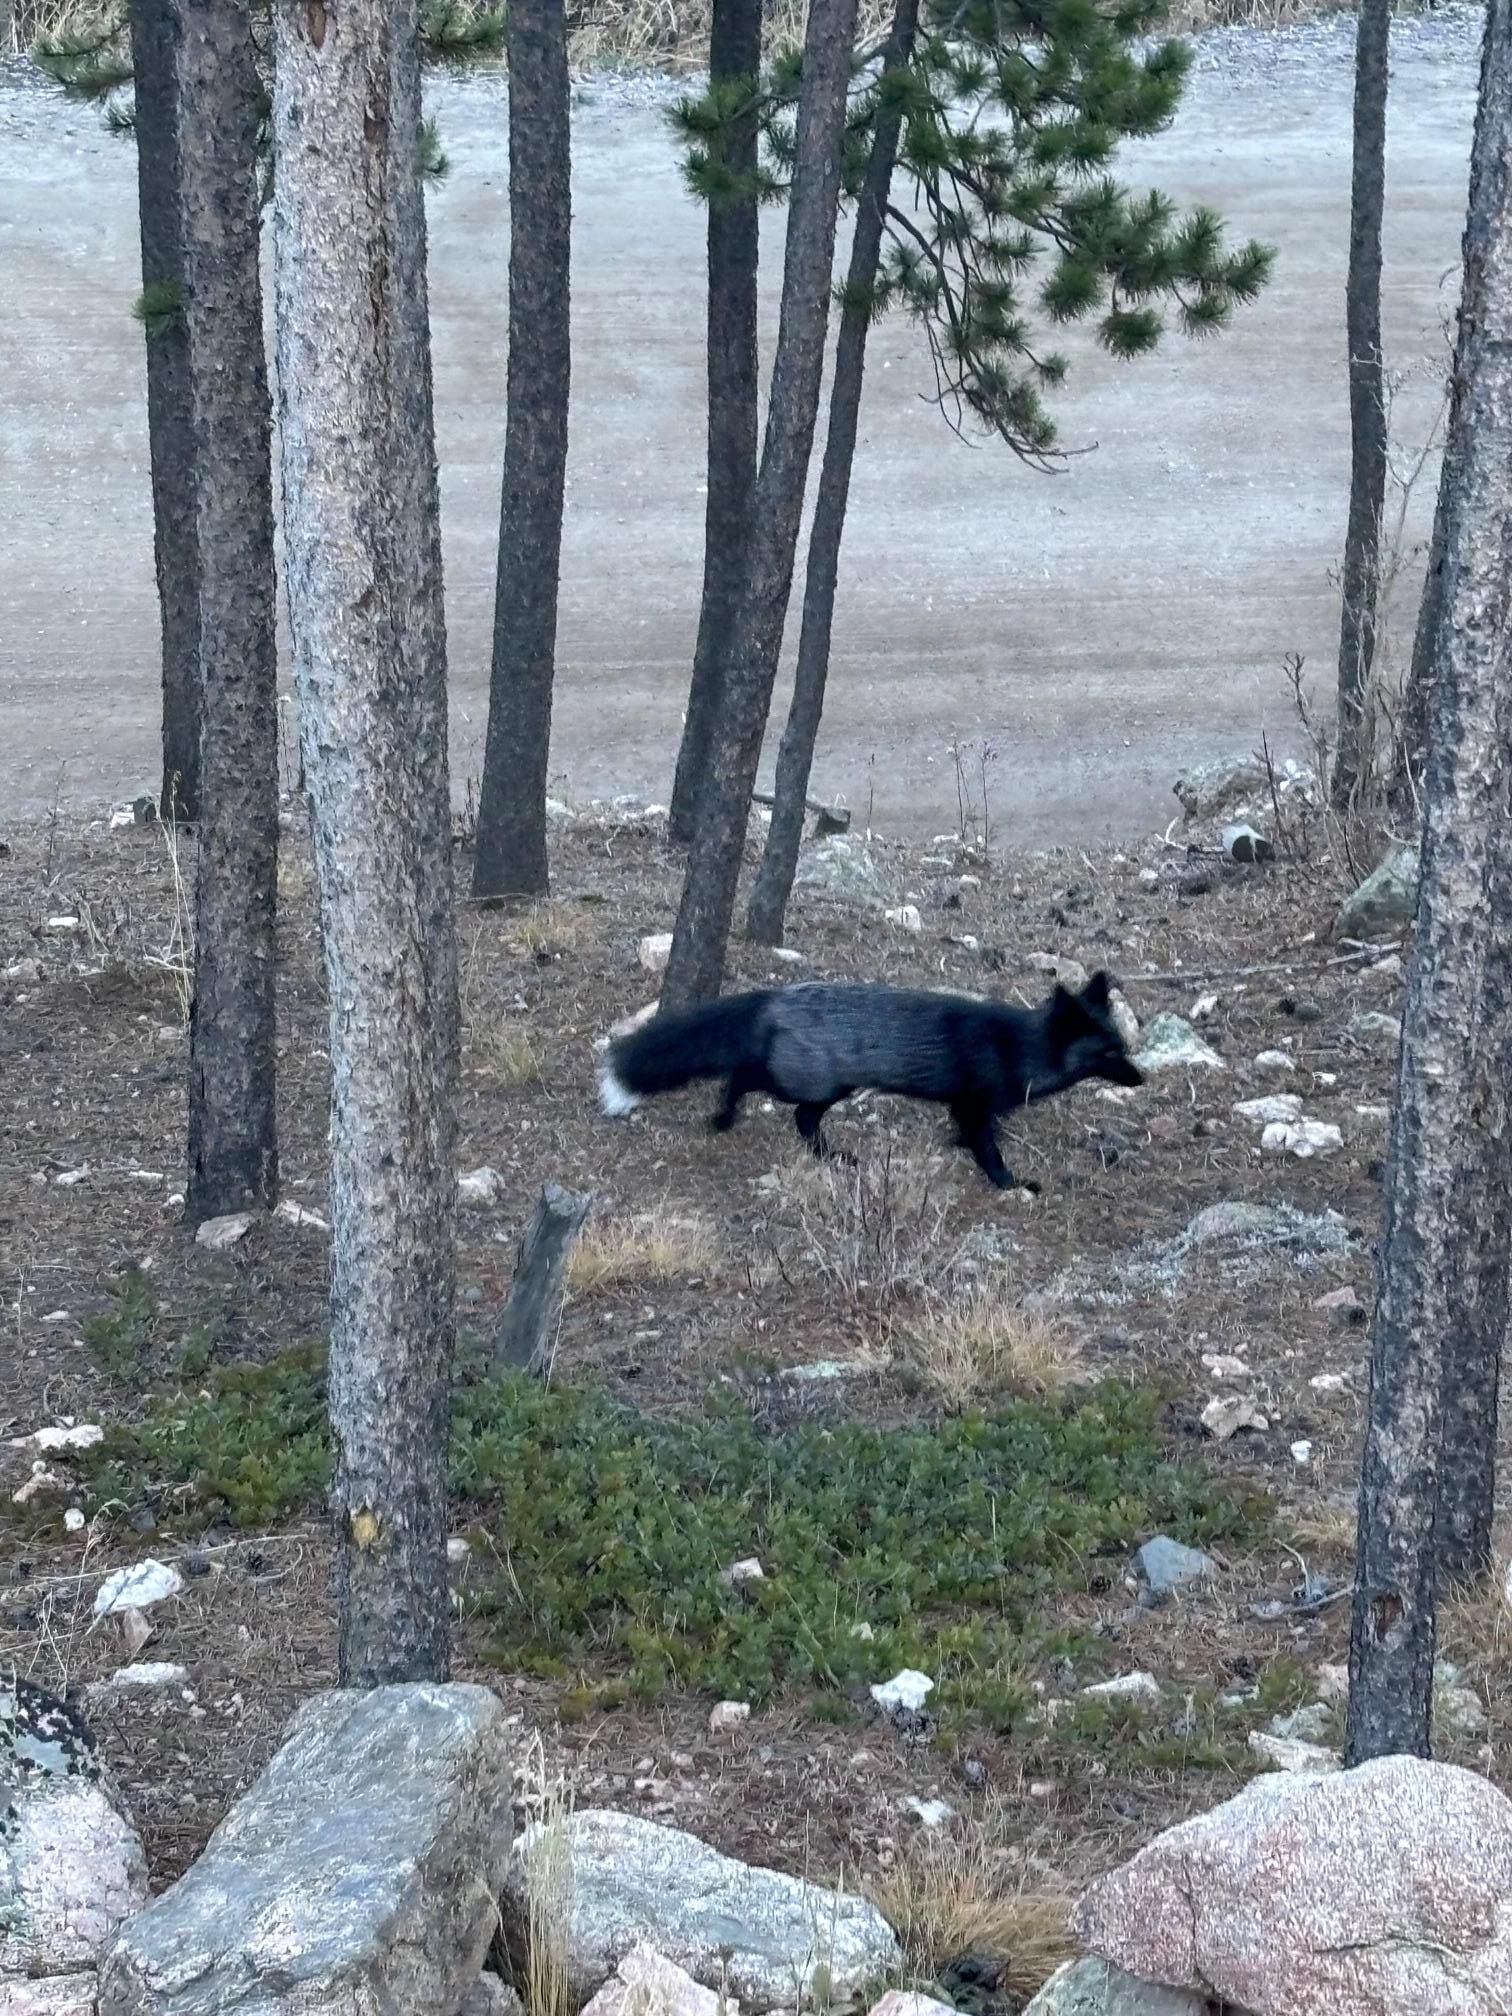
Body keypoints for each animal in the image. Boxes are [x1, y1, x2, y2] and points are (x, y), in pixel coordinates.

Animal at [597, 970, 1143, 1189]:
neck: (1017, 1047)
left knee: (802, 1120)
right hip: (806, 1082)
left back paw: (835, 1157)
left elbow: (970, 1136)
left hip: (827, 1089)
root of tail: (778, 996)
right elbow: (988, 1149)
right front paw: (1009, 1184)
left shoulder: (965, 1107)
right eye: (1110, 1052)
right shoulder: (973, 1102)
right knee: (745, 1077)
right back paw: (723, 1117)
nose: (1141, 1079)